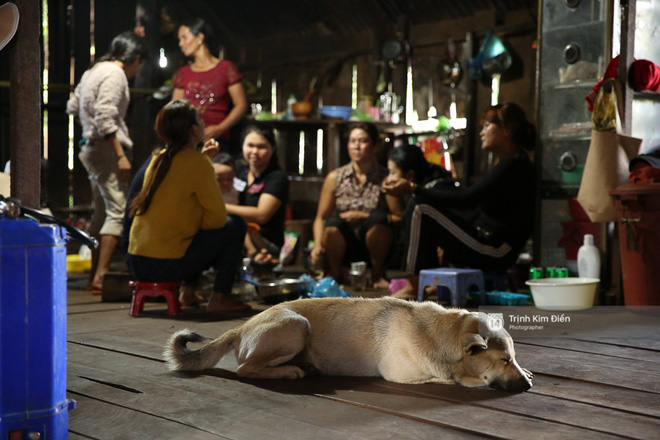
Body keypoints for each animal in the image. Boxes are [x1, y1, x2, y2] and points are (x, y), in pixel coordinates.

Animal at [162, 296, 532, 392]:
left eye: (512, 358)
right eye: (503, 361)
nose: (528, 386)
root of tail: (241, 327)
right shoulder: (402, 374)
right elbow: (447, 378)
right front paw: (468, 380)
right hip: (297, 325)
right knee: (246, 368)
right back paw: (289, 371)